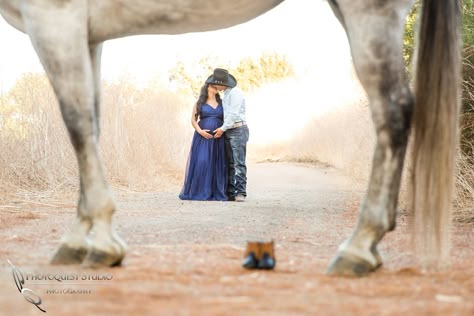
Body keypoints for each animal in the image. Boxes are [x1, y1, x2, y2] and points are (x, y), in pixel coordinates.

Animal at [0, 0, 460, 276]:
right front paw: (79, 239)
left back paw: (358, 247)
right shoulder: (88, 33)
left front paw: (100, 245)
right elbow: (91, 126)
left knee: (394, 110)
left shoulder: (56, 18)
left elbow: (77, 125)